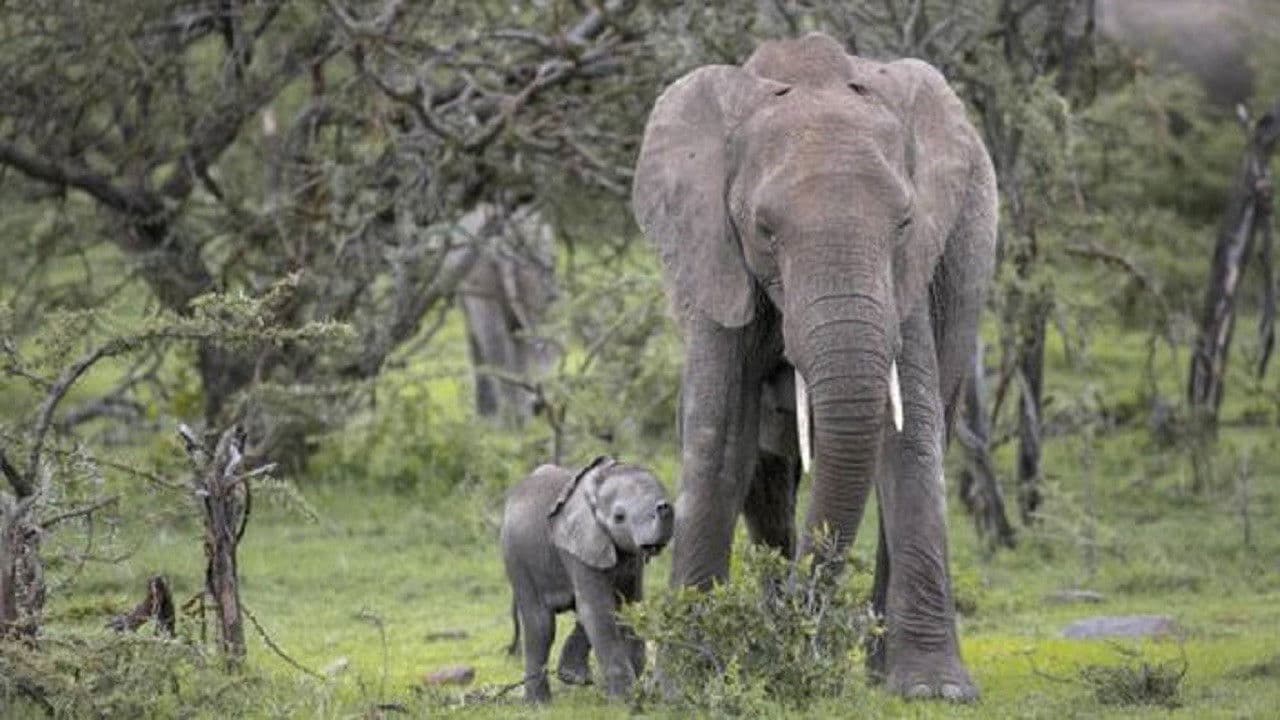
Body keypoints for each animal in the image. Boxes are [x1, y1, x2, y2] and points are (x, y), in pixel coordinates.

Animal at [500, 456, 674, 703]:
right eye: (619, 517)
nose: (664, 507)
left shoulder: (632, 558)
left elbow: (628, 606)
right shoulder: (577, 546)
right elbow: (598, 609)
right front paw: (625, 701)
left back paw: (571, 677)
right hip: (517, 557)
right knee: (540, 624)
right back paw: (539, 704)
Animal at [631, 32, 997, 700]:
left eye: (904, 223)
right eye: (764, 230)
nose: (808, 642)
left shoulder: (908, 276)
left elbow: (910, 436)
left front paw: (934, 691)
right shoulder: (717, 257)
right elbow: (719, 438)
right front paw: (683, 687)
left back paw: (873, 670)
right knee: (766, 474)